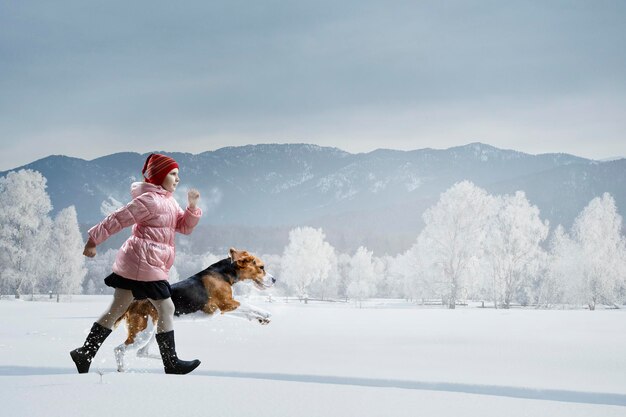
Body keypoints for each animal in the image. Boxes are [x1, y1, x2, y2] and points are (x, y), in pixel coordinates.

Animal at [112, 247, 272, 370]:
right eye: (262, 267)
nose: (274, 279)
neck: (223, 273)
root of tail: (133, 303)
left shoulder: (225, 308)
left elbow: (246, 313)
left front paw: (261, 319)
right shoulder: (227, 303)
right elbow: (249, 305)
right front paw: (266, 313)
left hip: (155, 329)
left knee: (142, 352)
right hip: (142, 333)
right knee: (119, 349)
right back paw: (122, 369)